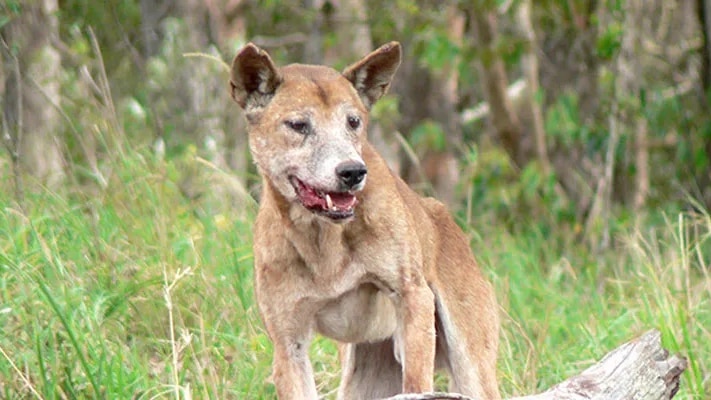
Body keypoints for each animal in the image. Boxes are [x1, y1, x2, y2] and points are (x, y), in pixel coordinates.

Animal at [228, 39, 500, 398]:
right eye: (299, 125)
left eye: (353, 122)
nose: (352, 171)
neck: (324, 246)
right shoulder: (288, 341)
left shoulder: (413, 296)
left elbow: (416, 385)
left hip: (472, 367)